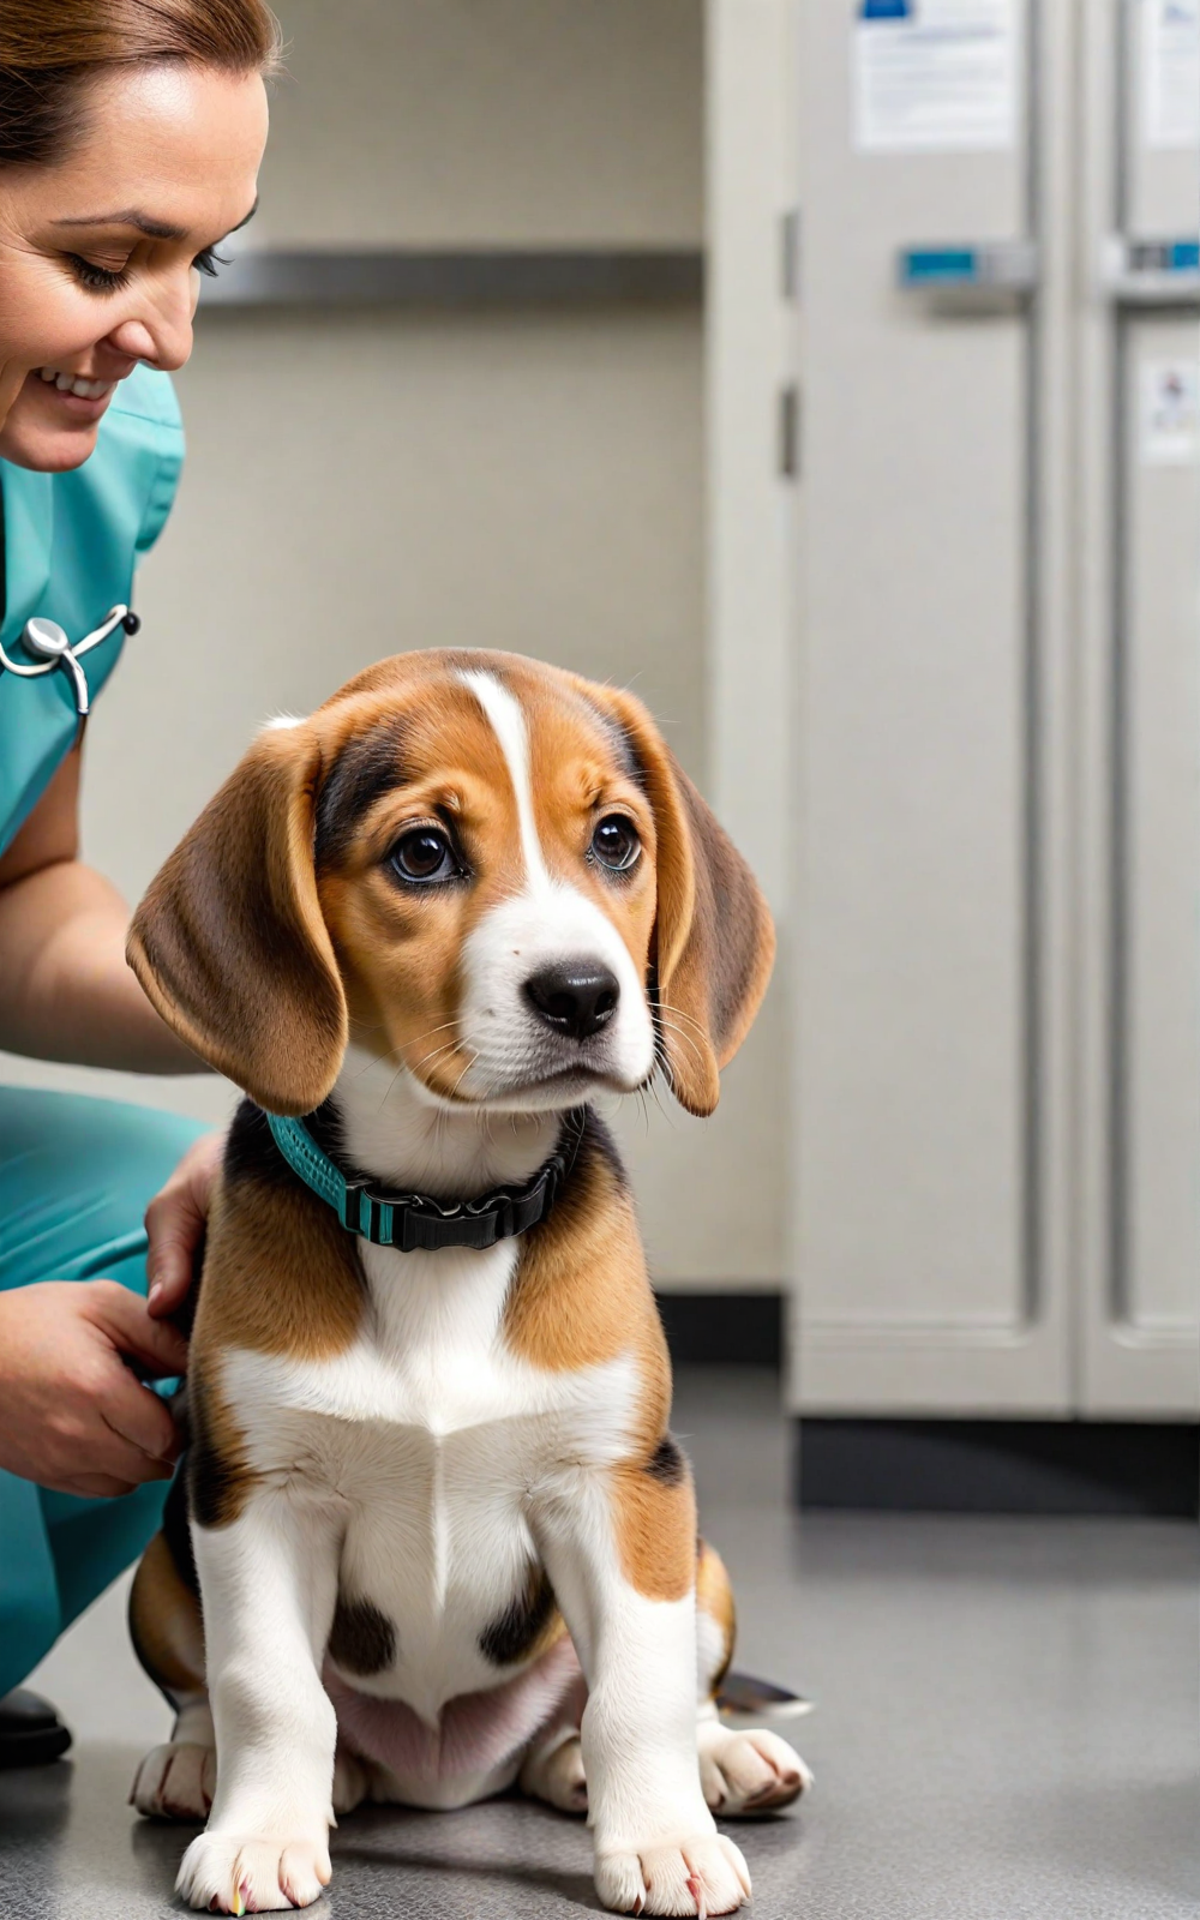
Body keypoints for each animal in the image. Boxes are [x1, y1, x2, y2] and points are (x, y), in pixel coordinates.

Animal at [126, 652, 810, 1912]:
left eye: (615, 839)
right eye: (423, 853)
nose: (586, 993)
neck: (442, 1217)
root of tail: (446, 1774)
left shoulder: (621, 1483)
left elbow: (637, 1693)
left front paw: (663, 1842)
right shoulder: (256, 1492)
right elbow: (263, 1687)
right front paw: (259, 1833)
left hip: (699, 1555)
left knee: (644, 1697)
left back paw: (703, 1759)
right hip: (164, 1558)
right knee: (210, 1693)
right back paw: (206, 1769)